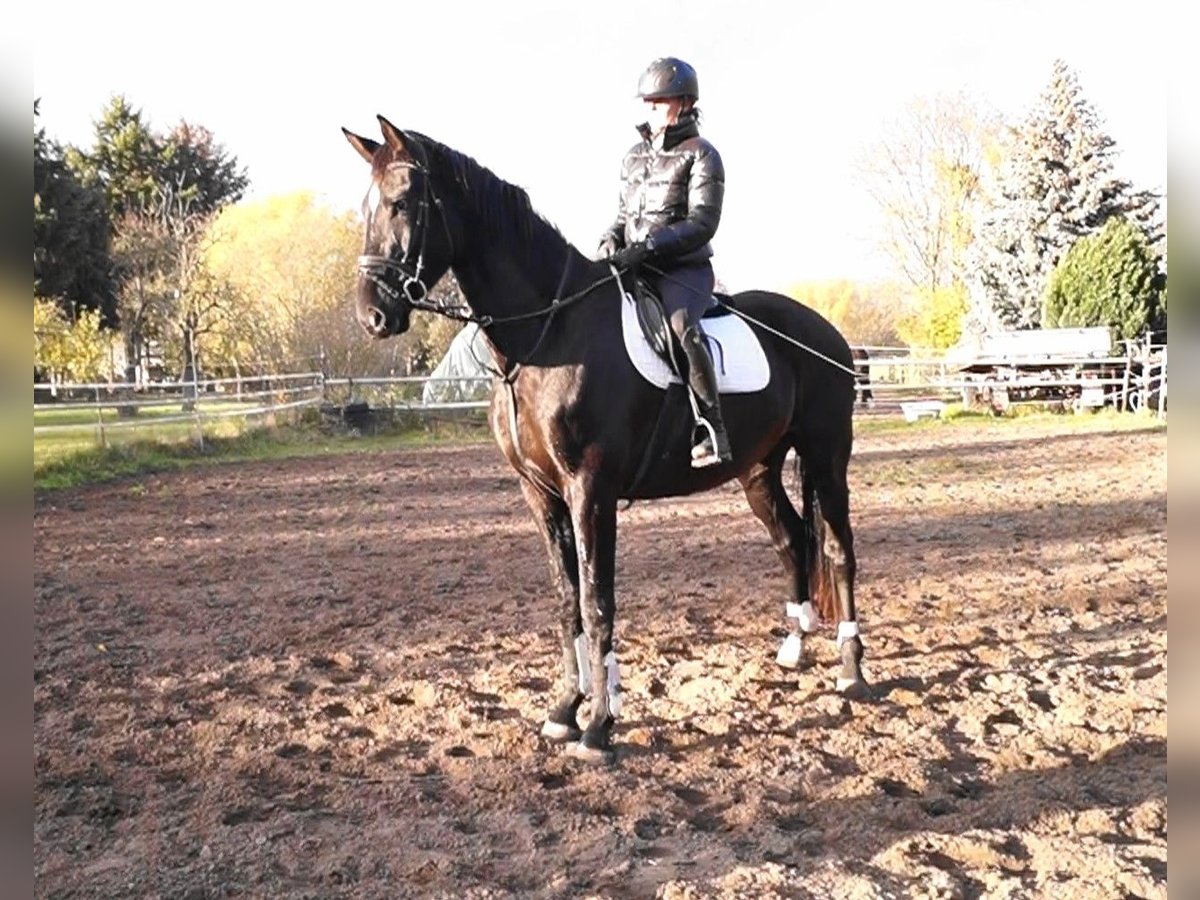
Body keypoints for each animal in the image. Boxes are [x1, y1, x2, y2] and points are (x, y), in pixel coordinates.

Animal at [343, 116, 868, 763]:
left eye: (400, 202)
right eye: (364, 207)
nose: (372, 316)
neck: (547, 334)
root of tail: (827, 333)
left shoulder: (590, 490)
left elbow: (597, 602)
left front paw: (596, 725)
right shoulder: (541, 495)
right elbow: (567, 599)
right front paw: (565, 711)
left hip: (826, 456)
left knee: (838, 550)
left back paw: (851, 671)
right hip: (757, 470)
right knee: (793, 539)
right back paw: (794, 649)